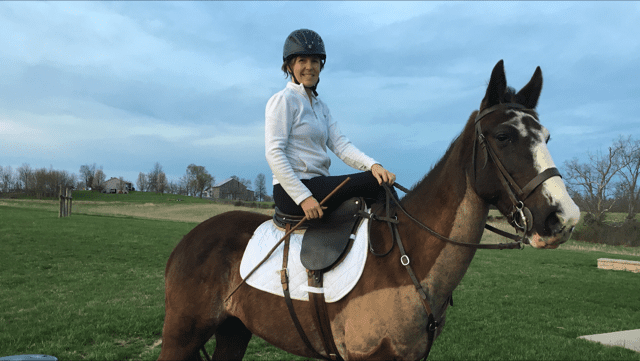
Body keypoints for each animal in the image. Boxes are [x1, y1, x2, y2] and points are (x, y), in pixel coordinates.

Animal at [159, 60, 580, 358]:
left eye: (545, 137)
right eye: (504, 136)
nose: (564, 217)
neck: (407, 261)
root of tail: (187, 241)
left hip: (233, 330)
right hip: (181, 335)